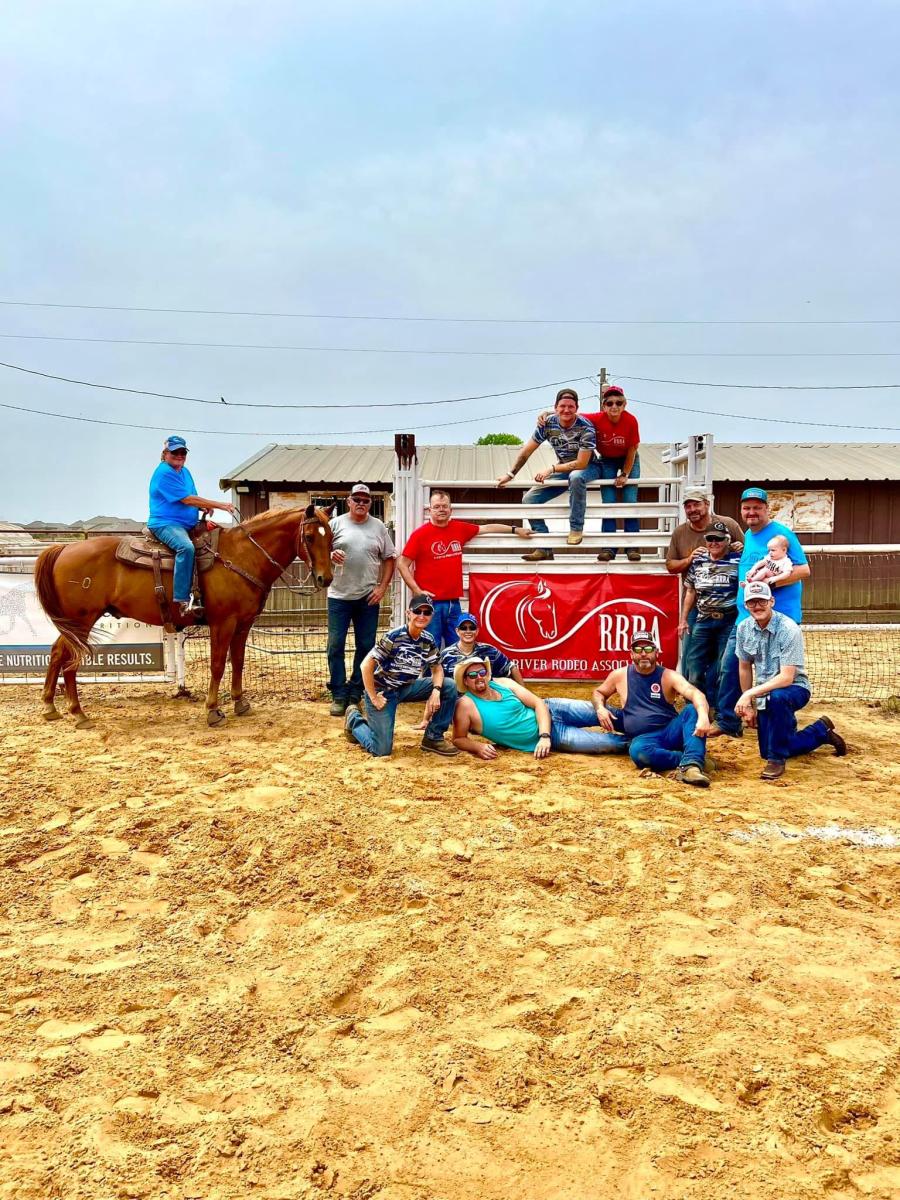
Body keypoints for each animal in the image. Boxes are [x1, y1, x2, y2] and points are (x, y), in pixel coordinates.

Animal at [33, 505, 334, 729]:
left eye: (330, 535)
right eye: (309, 537)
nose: (326, 578)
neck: (241, 556)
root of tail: (63, 549)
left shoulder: (243, 624)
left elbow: (238, 662)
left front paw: (240, 703)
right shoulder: (223, 623)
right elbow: (218, 665)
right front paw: (212, 711)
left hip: (74, 623)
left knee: (57, 653)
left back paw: (50, 706)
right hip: (81, 621)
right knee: (69, 659)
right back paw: (78, 713)